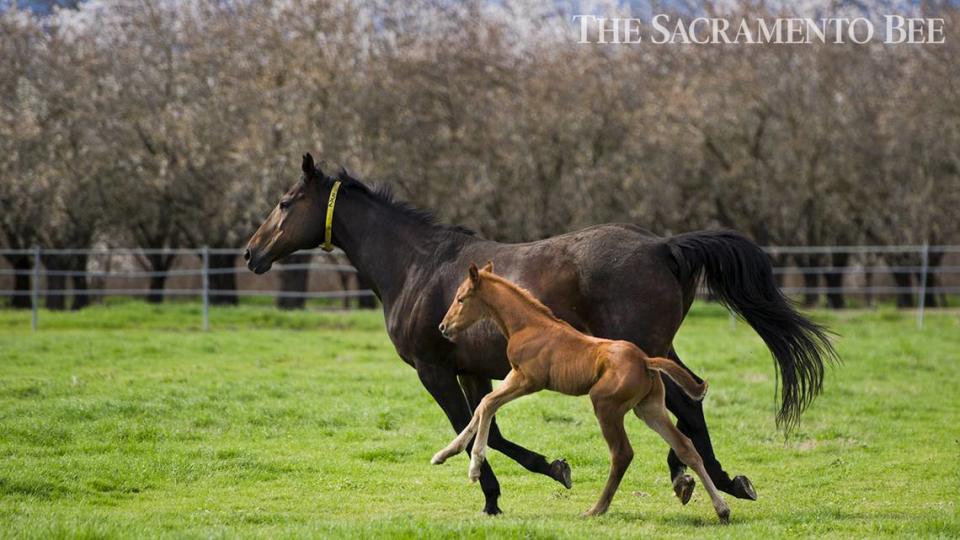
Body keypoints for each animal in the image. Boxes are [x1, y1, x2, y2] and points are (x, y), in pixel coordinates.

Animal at [432, 264, 732, 520]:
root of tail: (645, 360)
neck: (528, 326)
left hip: (606, 406)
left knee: (622, 454)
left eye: (461, 299)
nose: (443, 327)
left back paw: (596, 509)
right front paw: (444, 454)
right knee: (686, 447)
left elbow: (487, 405)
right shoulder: (512, 376)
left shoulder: (527, 380)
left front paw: (474, 467)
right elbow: (482, 407)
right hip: (649, 408)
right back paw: (722, 509)